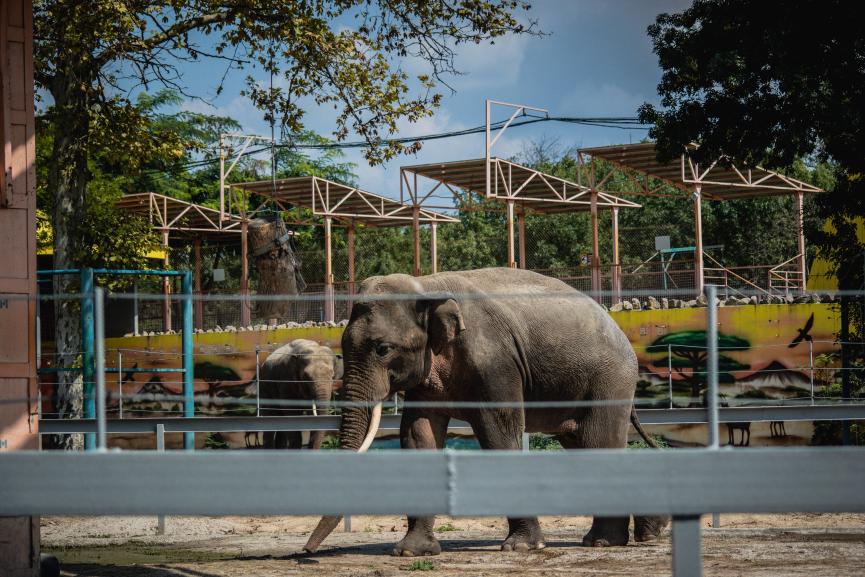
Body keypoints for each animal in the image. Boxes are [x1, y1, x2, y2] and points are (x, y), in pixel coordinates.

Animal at [304, 268, 668, 556]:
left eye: (383, 349)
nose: (307, 550)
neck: (427, 286)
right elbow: (418, 434)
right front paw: (410, 552)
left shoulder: (496, 363)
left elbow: (498, 432)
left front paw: (522, 547)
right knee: (581, 443)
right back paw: (633, 534)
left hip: (609, 381)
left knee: (598, 442)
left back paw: (604, 542)